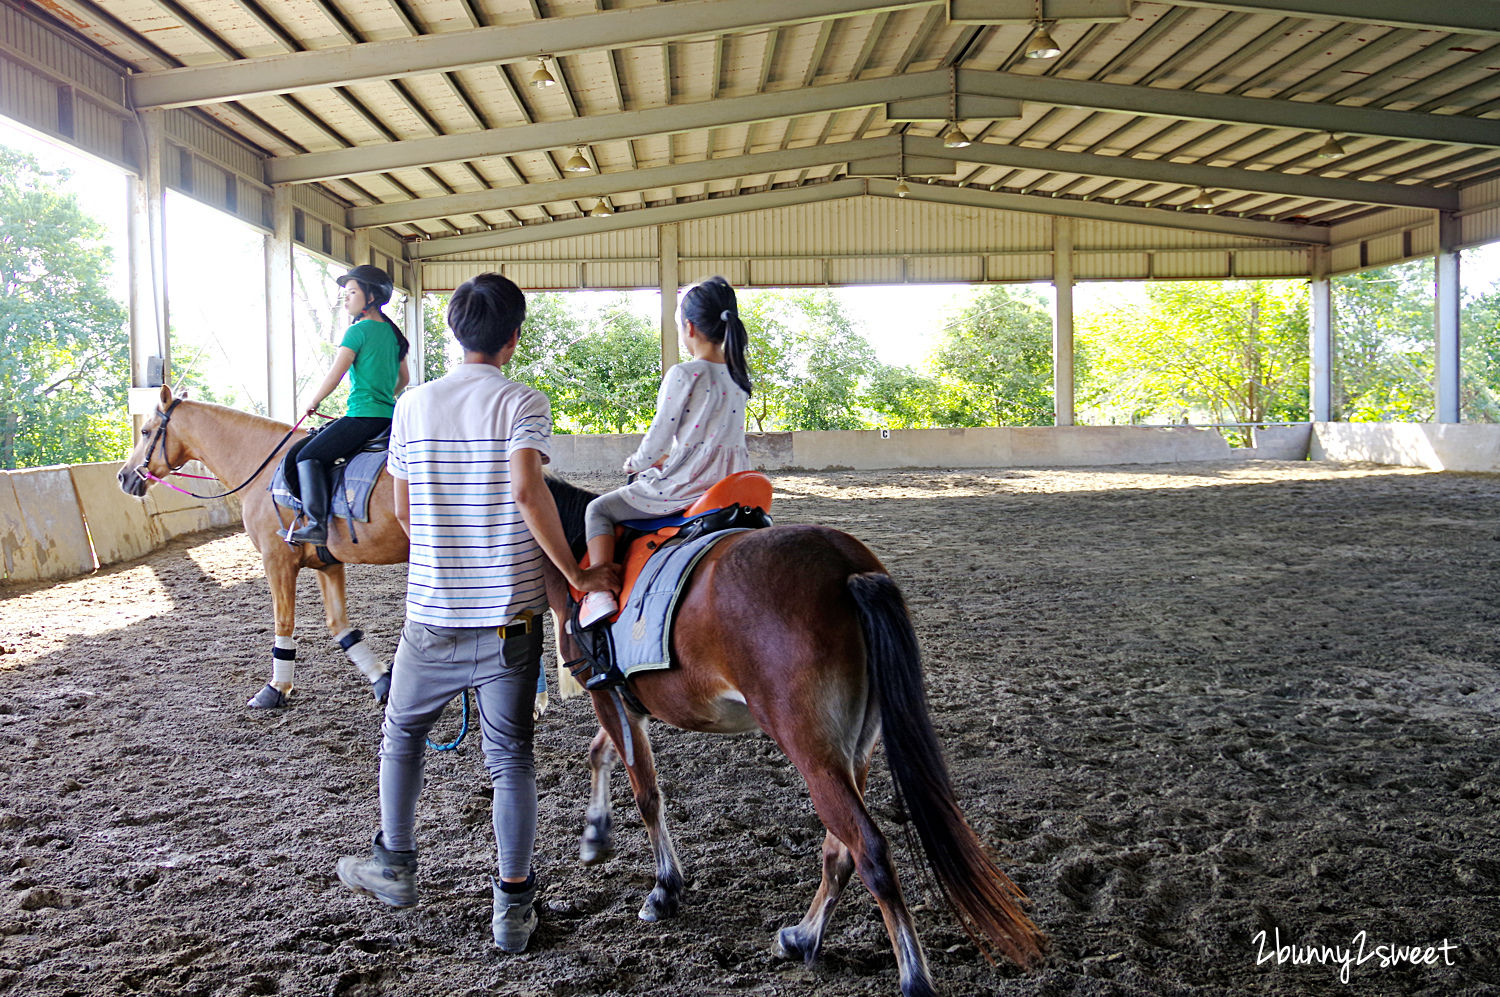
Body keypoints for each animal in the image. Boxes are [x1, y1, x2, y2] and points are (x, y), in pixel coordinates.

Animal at [117, 382, 408, 707]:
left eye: (145, 431)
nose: (124, 476)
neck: (261, 463)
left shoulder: (276, 560)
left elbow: (284, 622)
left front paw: (276, 688)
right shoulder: (327, 563)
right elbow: (338, 624)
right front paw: (382, 680)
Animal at [546, 473, 1050, 995]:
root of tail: (849, 569)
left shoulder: (607, 696)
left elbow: (647, 796)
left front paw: (664, 890)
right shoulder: (627, 705)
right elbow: (598, 753)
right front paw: (595, 835)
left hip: (812, 752)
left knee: (869, 850)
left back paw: (913, 977)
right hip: (853, 749)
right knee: (840, 850)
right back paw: (803, 937)